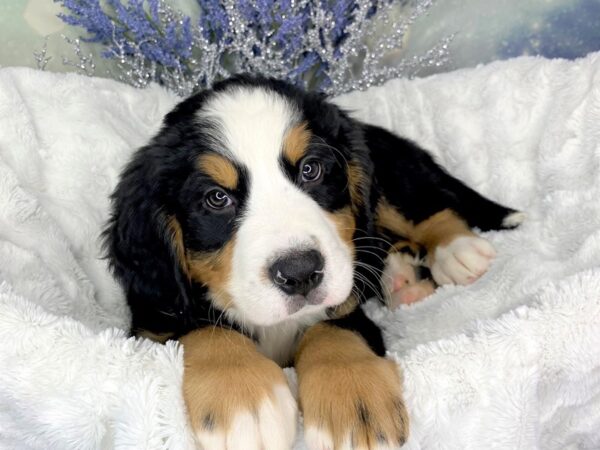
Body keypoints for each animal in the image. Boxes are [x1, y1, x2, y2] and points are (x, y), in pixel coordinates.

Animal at [105, 75, 524, 448]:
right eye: (216, 198)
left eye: (311, 169)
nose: (301, 272)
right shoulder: (154, 320)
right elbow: (206, 330)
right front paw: (245, 402)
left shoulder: (345, 299)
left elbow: (331, 329)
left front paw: (354, 400)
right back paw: (402, 280)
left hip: (391, 179)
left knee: (429, 206)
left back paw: (458, 252)